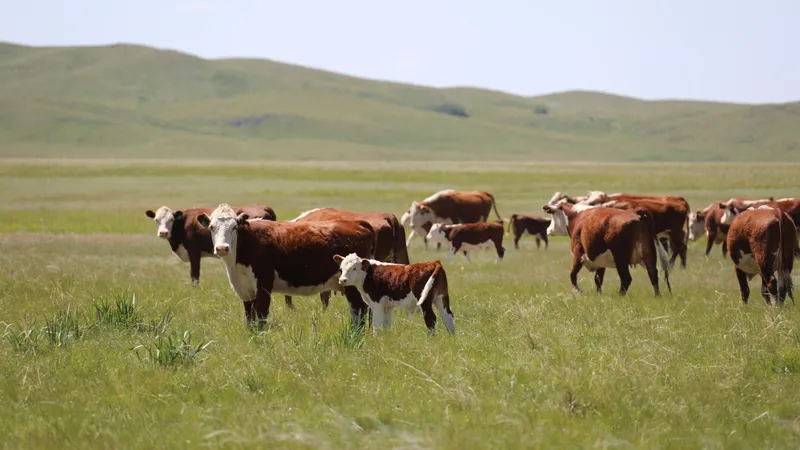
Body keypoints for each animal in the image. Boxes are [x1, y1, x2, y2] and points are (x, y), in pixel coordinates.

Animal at [145, 204, 276, 285]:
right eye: (156, 220)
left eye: (171, 220)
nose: (163, 232)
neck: (184, 223)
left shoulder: (194, 252)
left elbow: (195, 276)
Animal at [196, 204, 376, 327]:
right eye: (212, 227)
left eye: (234, 227)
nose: (222, 248)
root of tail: (358, 223)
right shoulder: (245, 289)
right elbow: (250, 317)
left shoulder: (264, 284)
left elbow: (261, 315)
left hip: (351, 286)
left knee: (359, 311)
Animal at [543, 202, 671, 296]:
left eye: (552, 215)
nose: (547, 229)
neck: (577, 216)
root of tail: (635, 211)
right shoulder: (600, 261)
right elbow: (598, 279)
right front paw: (599, 295)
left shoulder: (578, 253)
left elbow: (573, 274)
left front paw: (578, 292)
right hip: (649, 253)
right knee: (653, 274)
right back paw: (657, 296)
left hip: (620, 258)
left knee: (626, 278)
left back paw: (620, 296)